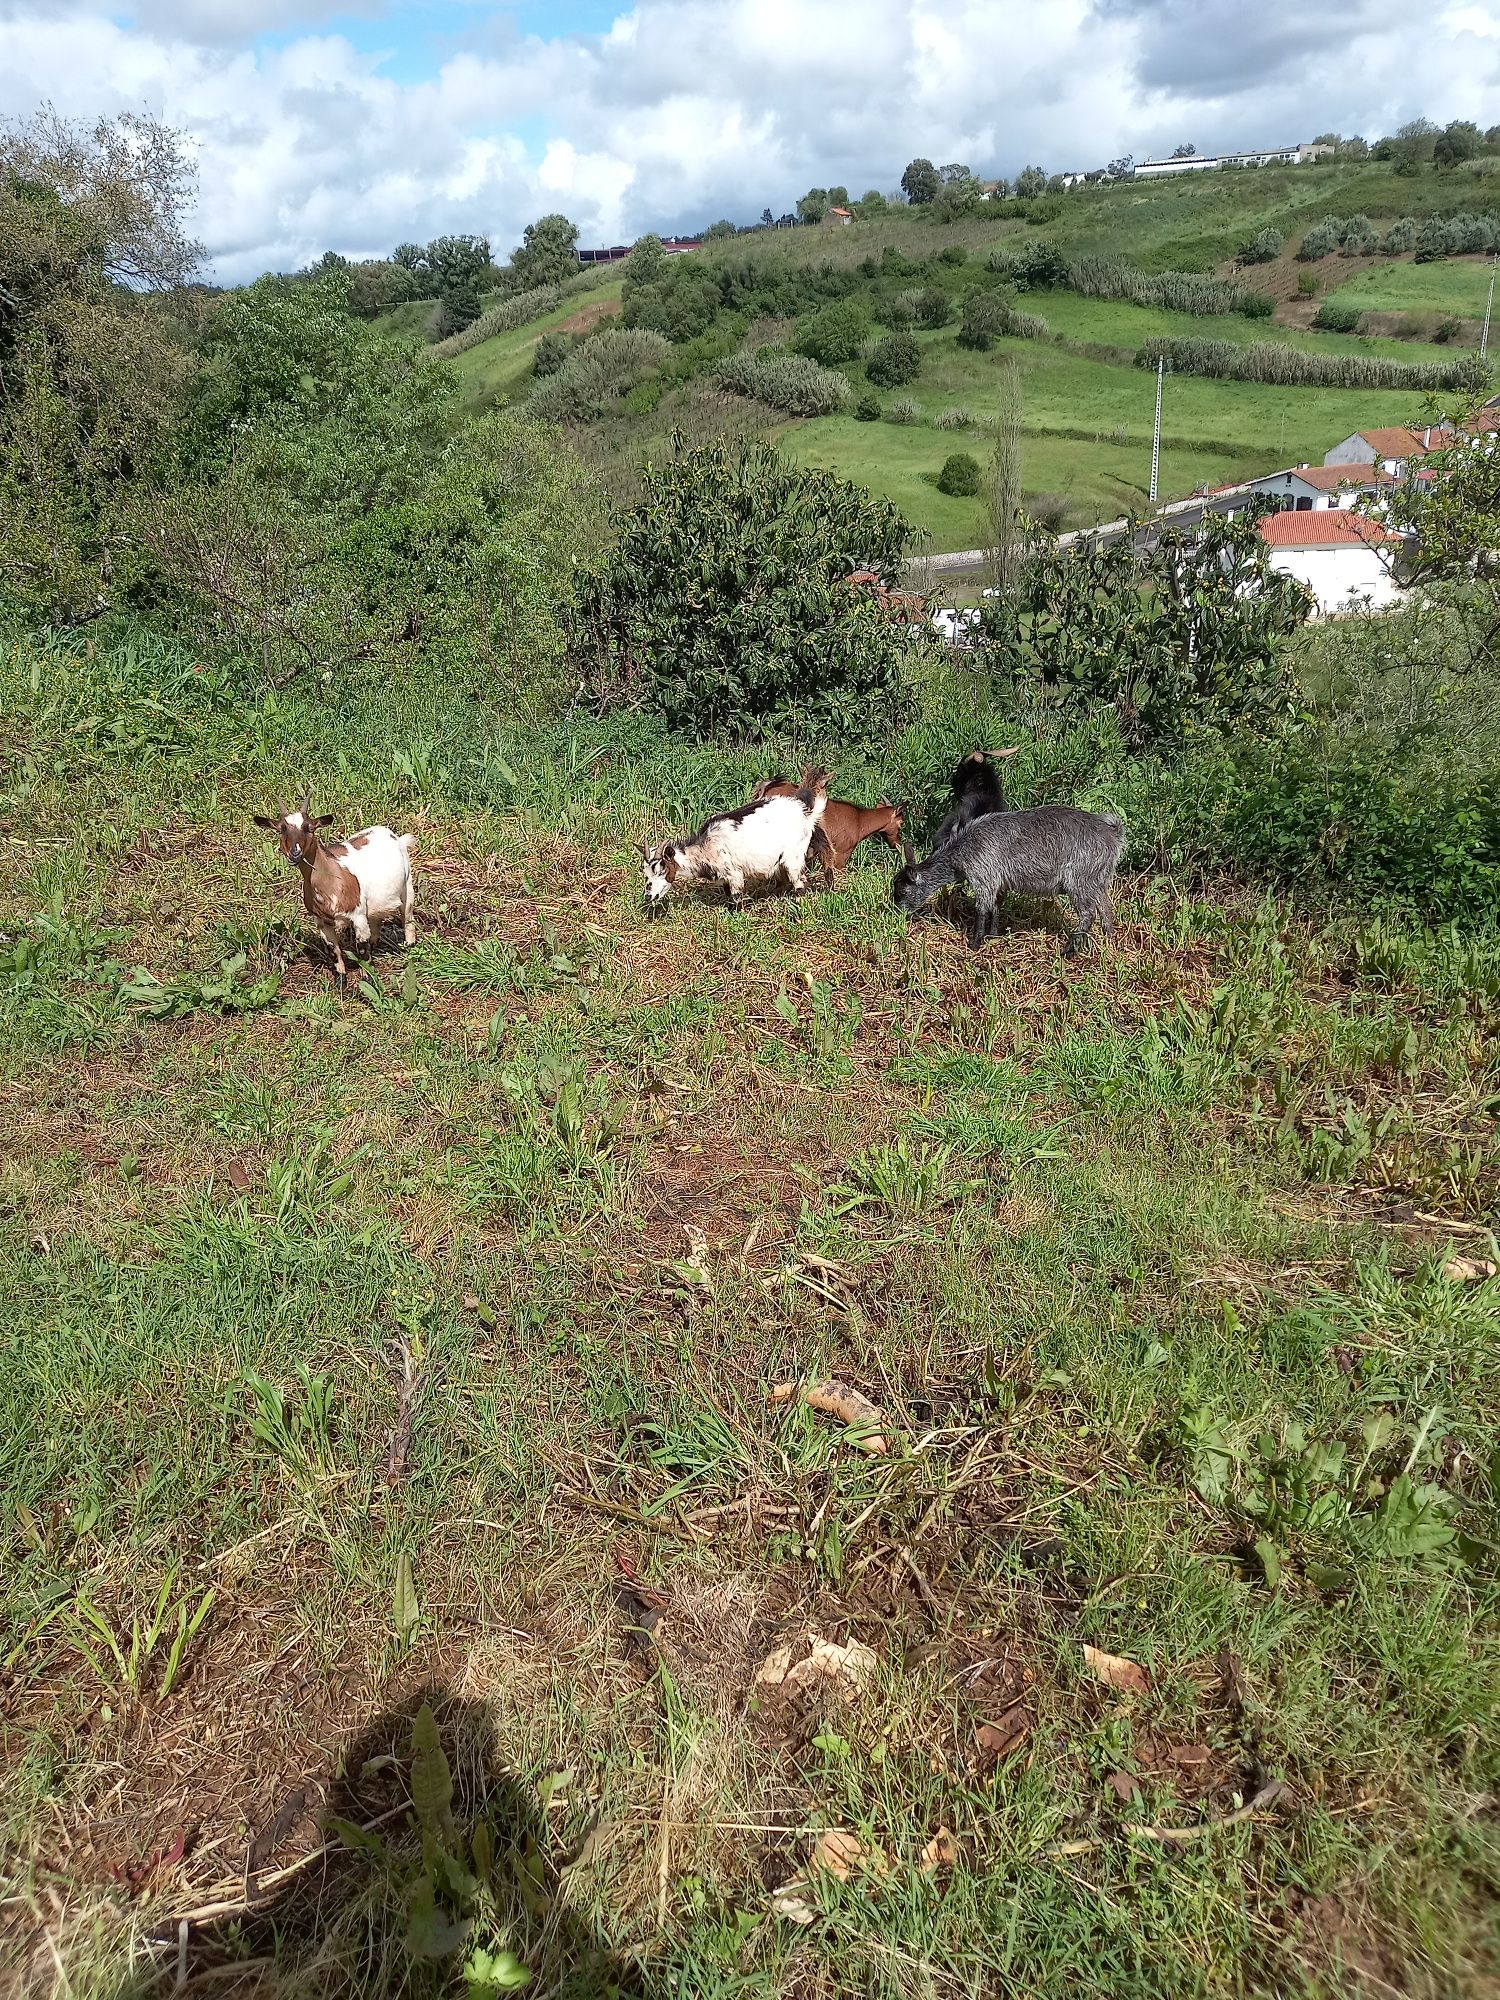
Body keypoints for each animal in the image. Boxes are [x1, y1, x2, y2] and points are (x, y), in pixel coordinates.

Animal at [254, 796, 414, 984]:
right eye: (281, 830)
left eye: (310, 828)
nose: (295, 853)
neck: (333, 878)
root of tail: (395, 836)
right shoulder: (321, 921)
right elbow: (333, 951)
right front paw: (341, 982)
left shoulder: (358, 915)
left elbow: (362, 951)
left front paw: (368, 980)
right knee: (376, 920)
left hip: (407, 884)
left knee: (407, 917)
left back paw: (410, 946)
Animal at [644, 768, 836, 912]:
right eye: (645, 872)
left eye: (662, 869)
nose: (648, 896)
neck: (706, 847)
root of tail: (803, 809)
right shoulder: (725, 877)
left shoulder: (734, 873)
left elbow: (736, 899)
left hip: (793, 856)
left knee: (800, 884)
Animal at [892, 800, 1128, 956]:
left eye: (902, 891)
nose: (897, 913)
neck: (962, 849)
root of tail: (1112, 834)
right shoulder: (997, 882)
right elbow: (996, 907)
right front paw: (993, 935)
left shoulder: (983, 877)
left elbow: (981, 910)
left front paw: (975, 943)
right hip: (1098, 879)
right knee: (1105, 908)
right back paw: (1108, 940)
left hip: (1079, 880)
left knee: (1088, 913)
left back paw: (1069, 950)